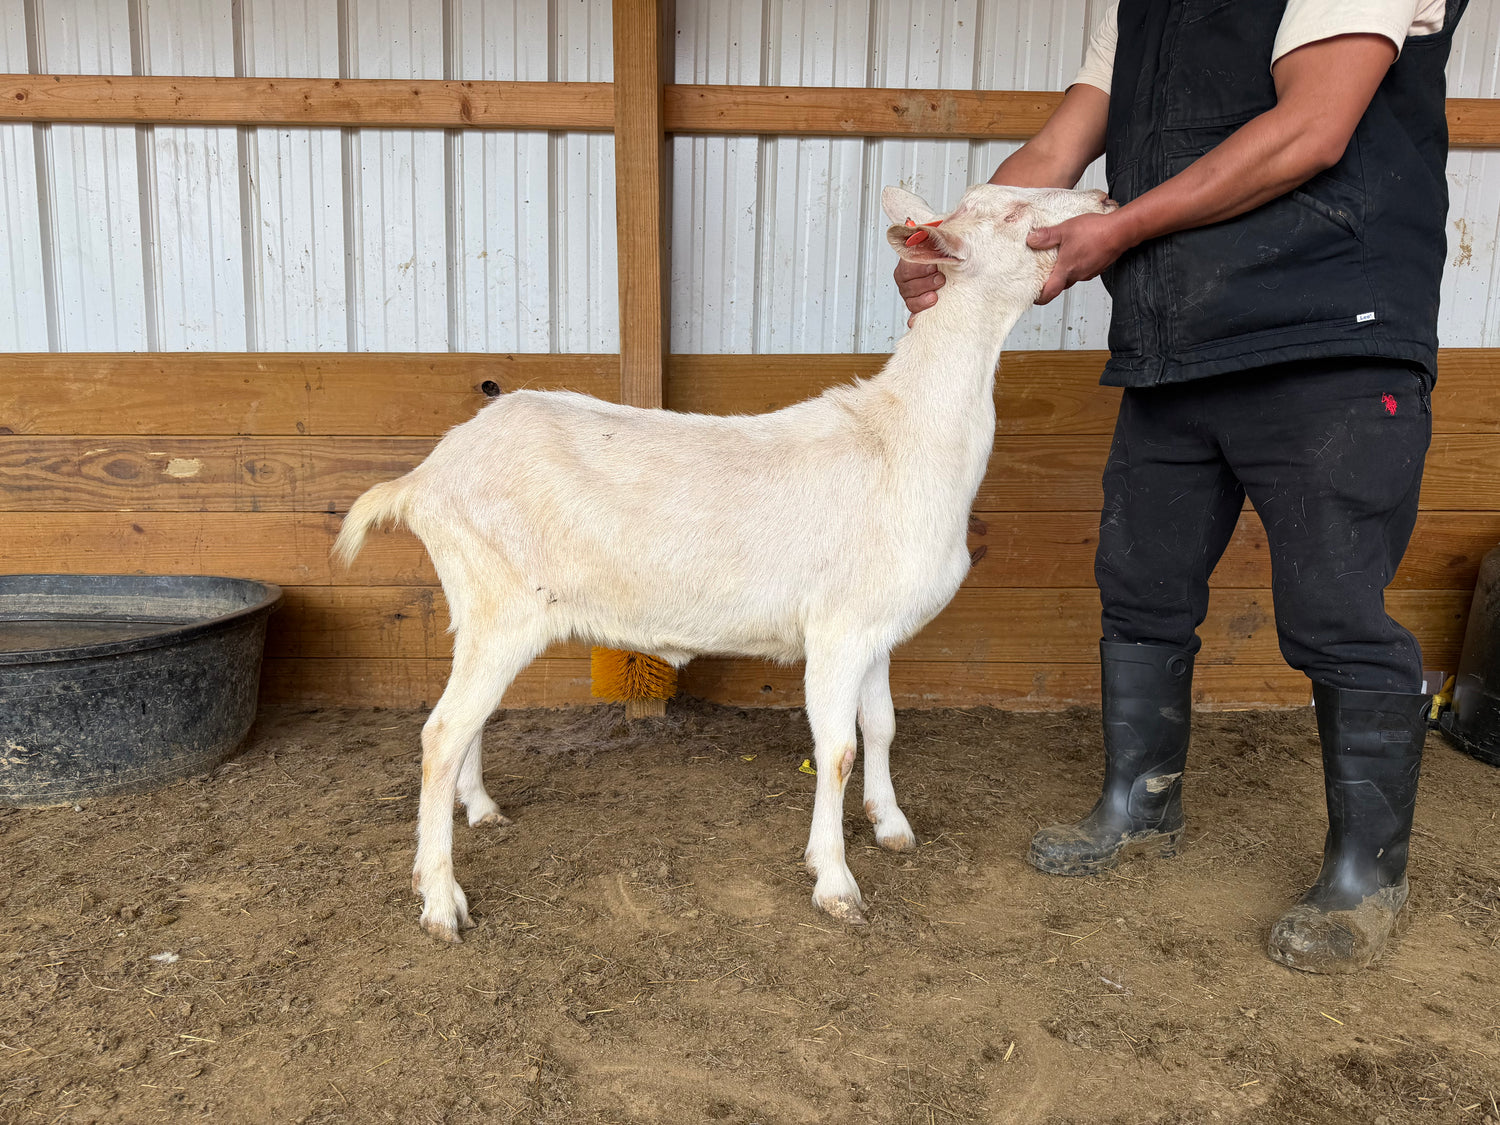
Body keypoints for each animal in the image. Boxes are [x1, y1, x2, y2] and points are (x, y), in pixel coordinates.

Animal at [334, 183, 1115, 942]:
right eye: (1011, 211)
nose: (1106, 202)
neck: (899, 437)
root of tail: (425, 477)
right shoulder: (836, 632)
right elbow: (836, 748)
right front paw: (835, 881)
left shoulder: (875, 627)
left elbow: (882, 726)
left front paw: (890, 825)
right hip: (502, 605)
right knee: (440, 732)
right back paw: (440, 901)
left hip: (477, 607)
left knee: (465, 720)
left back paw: (480, 809)